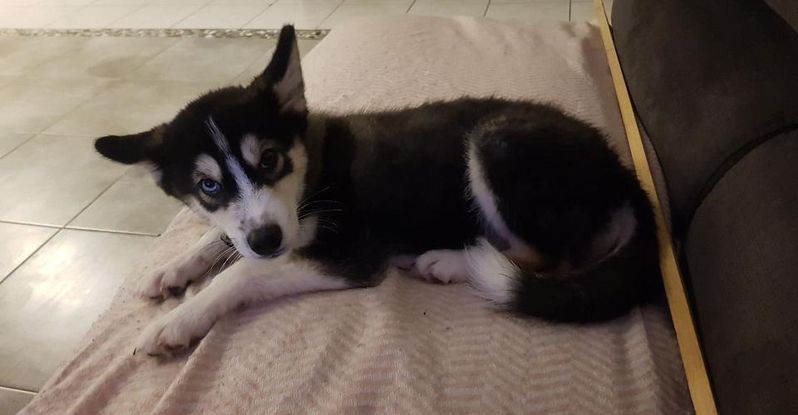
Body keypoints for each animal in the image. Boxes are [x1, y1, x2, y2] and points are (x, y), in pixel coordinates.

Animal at [95, 25, 661, 356]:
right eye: (208, 185)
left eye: (270, 159)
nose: (268, 239)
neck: (312, 171)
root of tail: (625, 174)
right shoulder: (257, 226)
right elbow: (222, 239)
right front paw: (171, 269)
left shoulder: (353, 256)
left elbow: (244, 274)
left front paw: (178, 321)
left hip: (497, 142)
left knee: (549, 259)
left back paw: (448, 261)